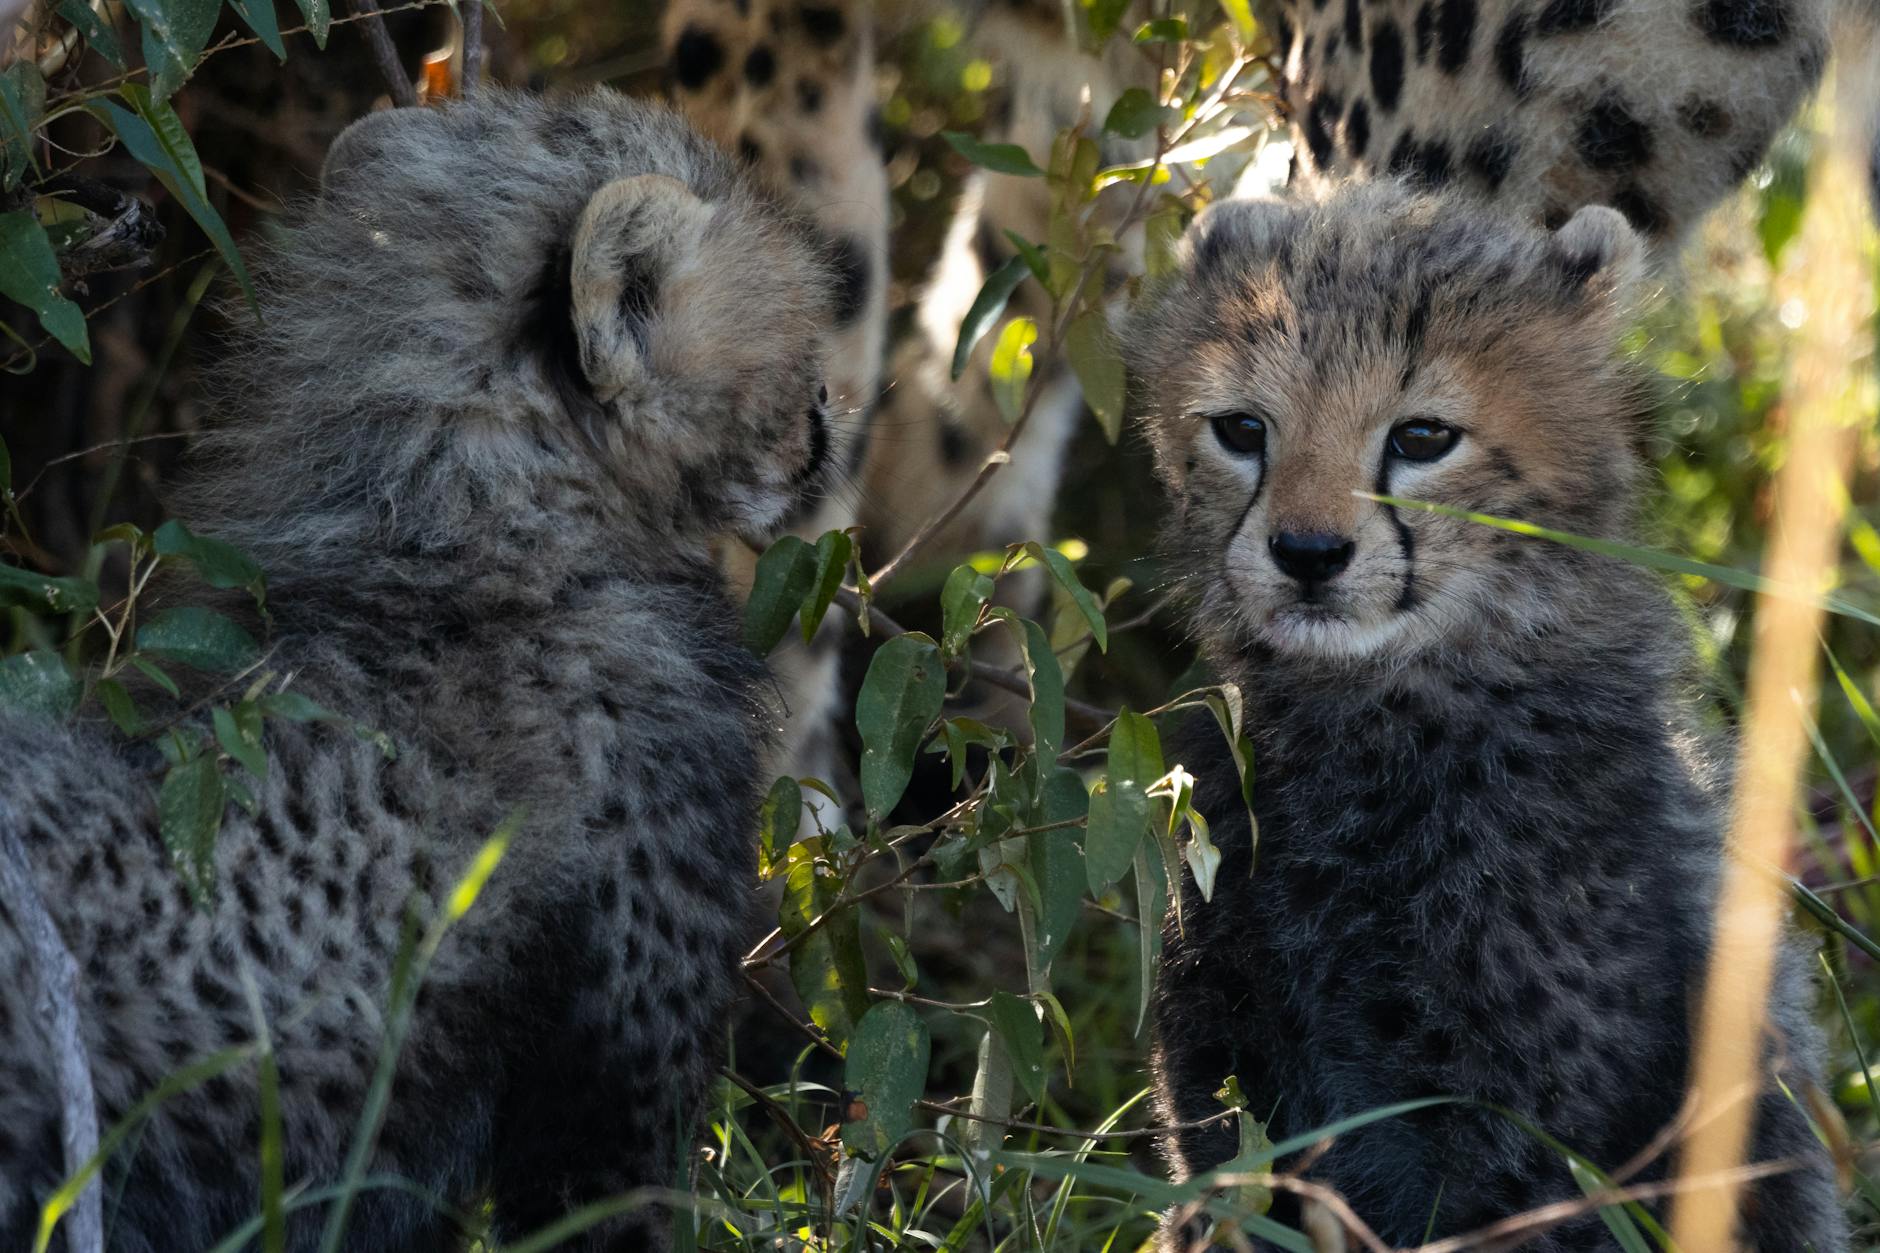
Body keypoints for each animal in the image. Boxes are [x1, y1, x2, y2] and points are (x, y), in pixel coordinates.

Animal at [1127, 182, 1848, 1249]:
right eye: (1243, 430)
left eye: (1423, 437)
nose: (1308, 553)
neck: (1381, 713)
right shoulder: (1225, 1078)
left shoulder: (1528, 1144)